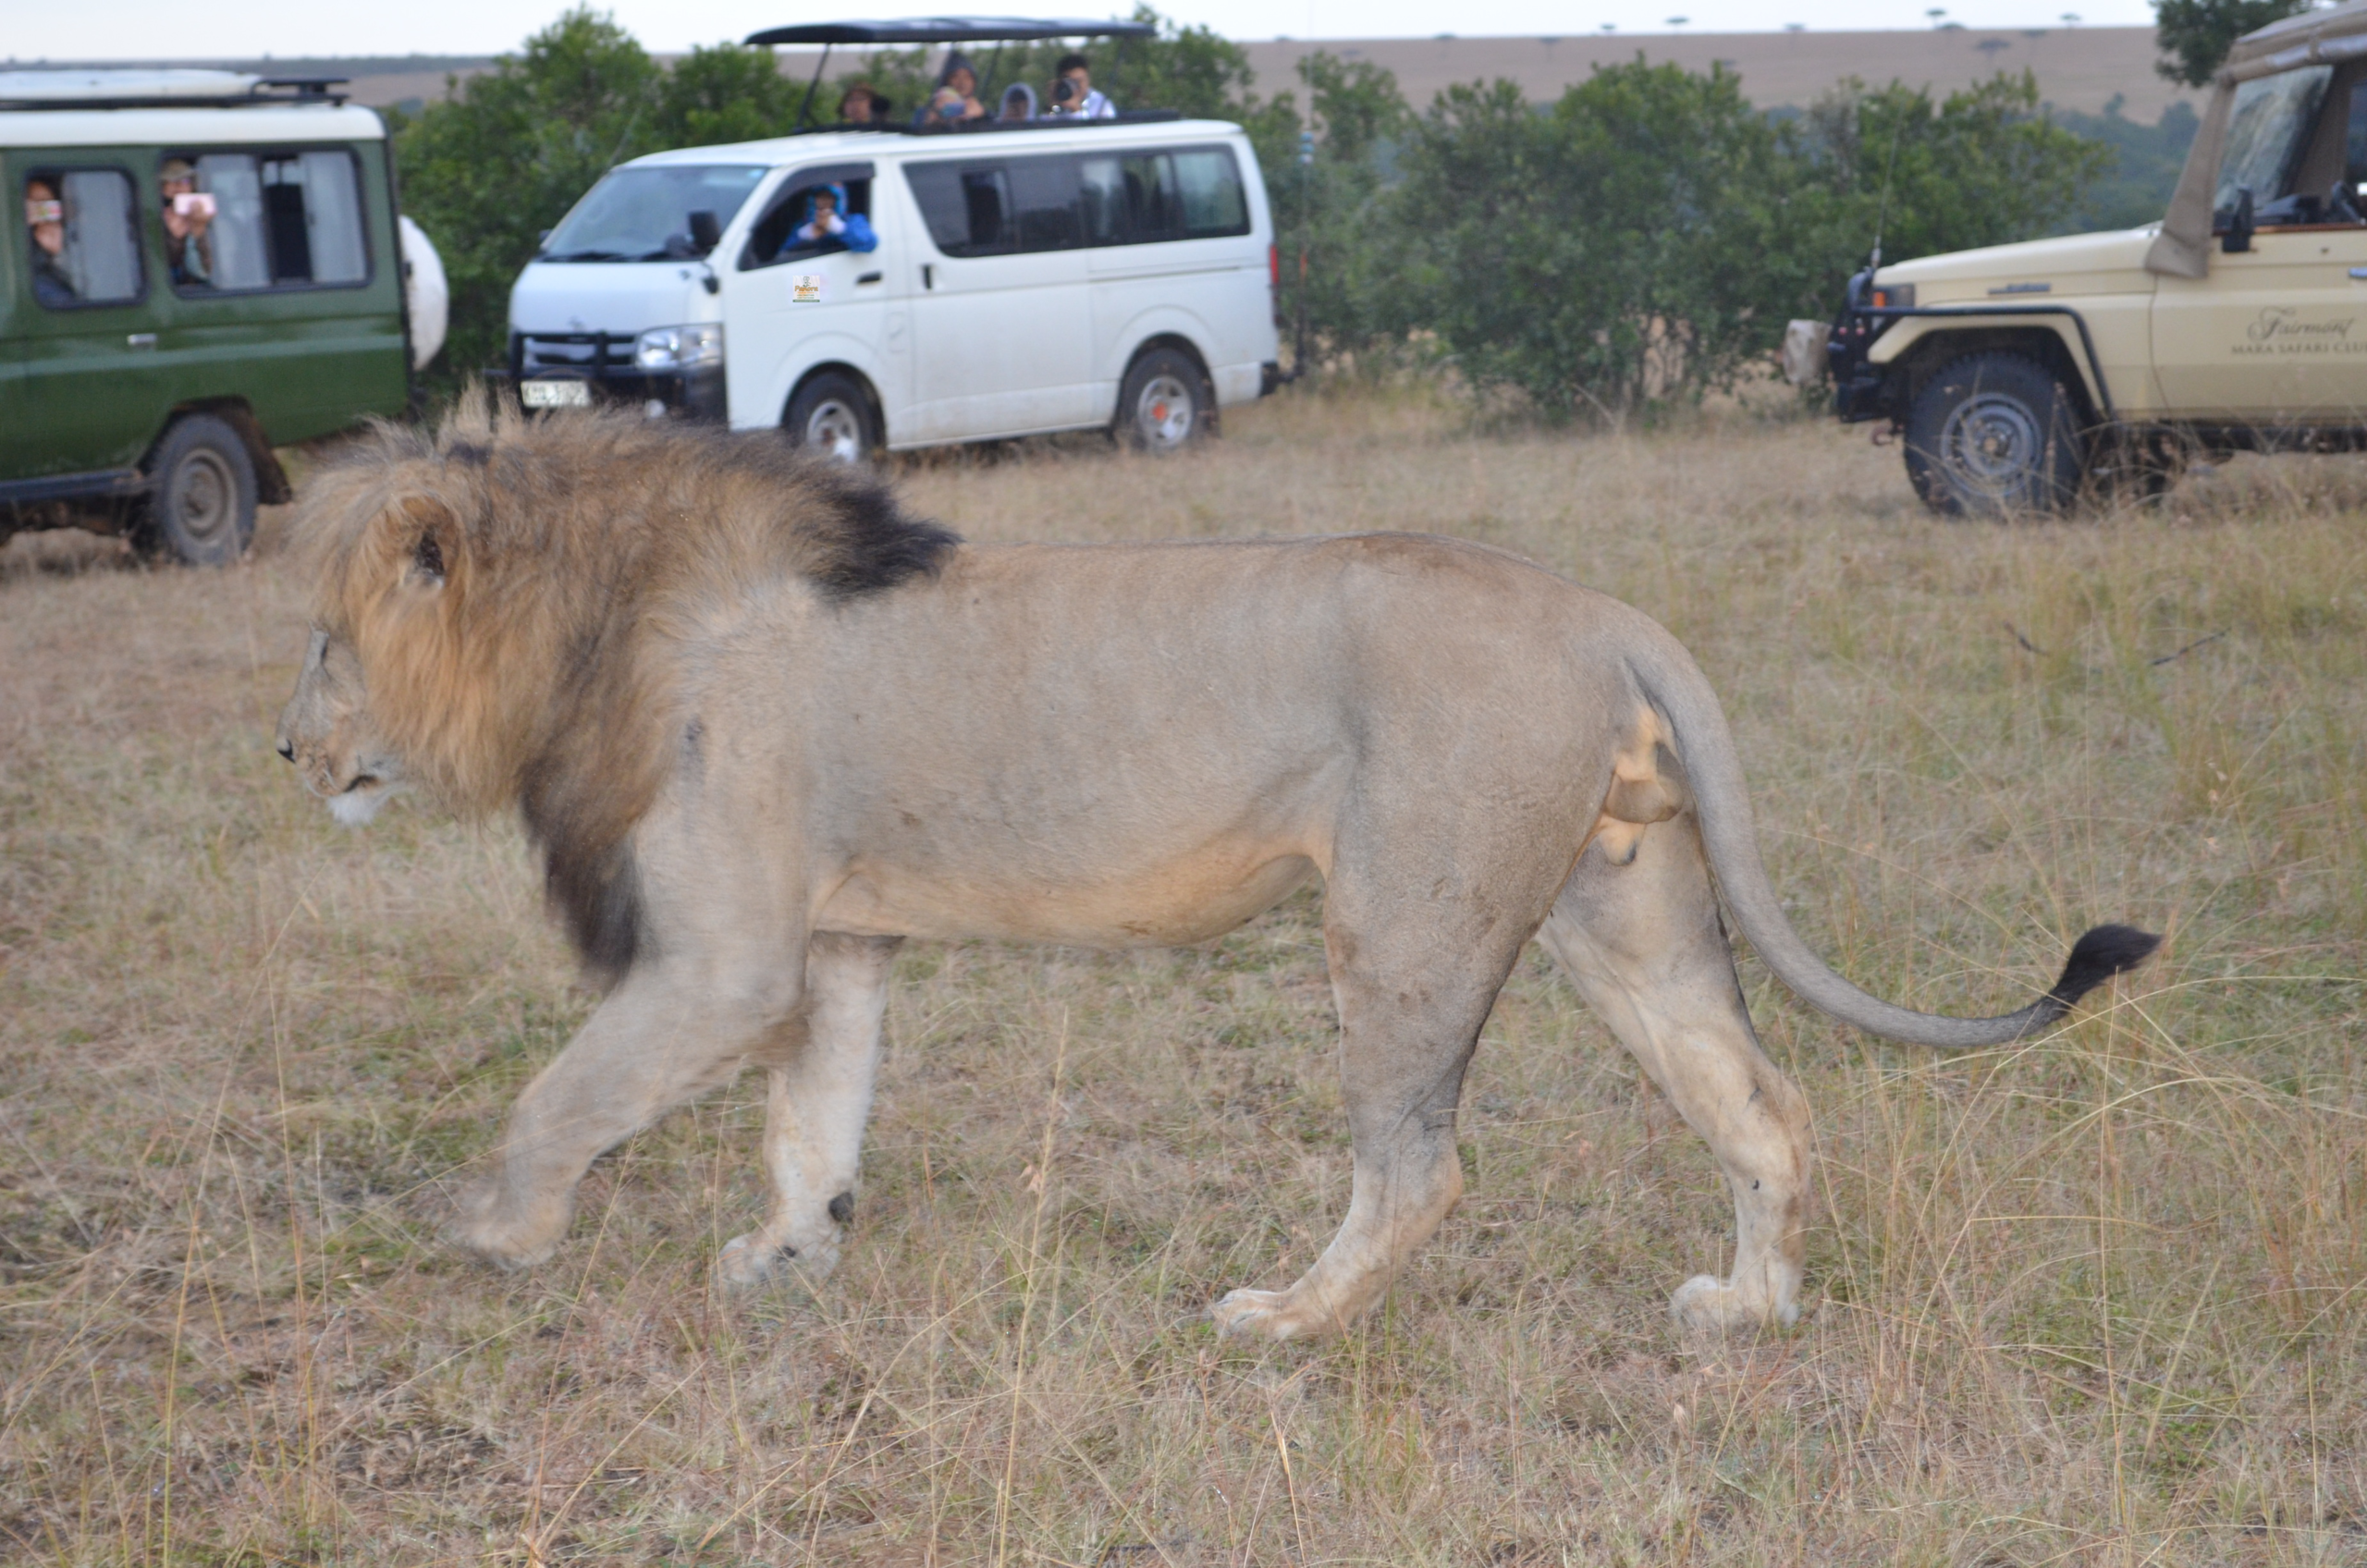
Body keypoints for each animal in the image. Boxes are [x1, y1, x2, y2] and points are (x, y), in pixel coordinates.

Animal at [275, 396, 2158, 1340]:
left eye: (327, 642)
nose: (287, 755)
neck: (617, 624)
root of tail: (1602, 609)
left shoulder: (721, 955)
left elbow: (566, 1094)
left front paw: (494, 1231)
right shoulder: (830, 948)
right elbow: (813, 1126)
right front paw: (784, 1261)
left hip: (1402, 920)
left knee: (1420, 1172)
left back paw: (1280, 1320)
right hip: (1623, 909)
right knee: (1762, 1105)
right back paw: (1748, 1310)